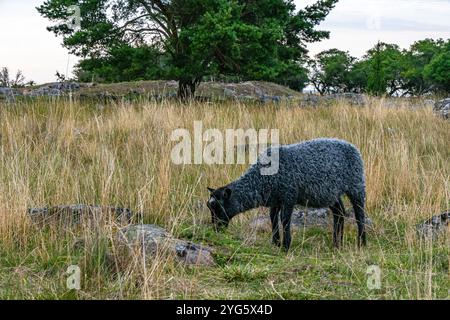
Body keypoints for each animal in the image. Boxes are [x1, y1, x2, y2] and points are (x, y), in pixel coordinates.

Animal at [207, 139, 366, 251]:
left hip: (356, 185)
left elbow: (284, 219)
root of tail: (352, 146)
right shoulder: (275, 199)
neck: (261, 179)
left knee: (359, 214)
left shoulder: (289, 195)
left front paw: (285, 245)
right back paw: (337, 243)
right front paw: (276, 242)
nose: (215, 229)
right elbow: (272, 217)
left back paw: (361, 242)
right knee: (340, 212)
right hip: (331, 193)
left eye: (218, 206)